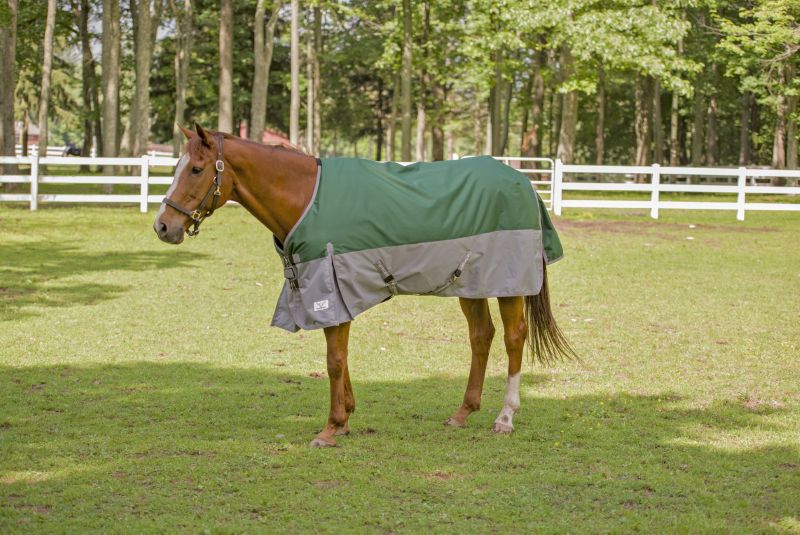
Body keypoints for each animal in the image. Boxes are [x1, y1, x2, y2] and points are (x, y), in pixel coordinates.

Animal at [152, 124, 576, 448]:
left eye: (196, 169)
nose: (163, 226)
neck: (306, 199)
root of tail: (523, 181)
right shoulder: (329, 291)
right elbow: (340, 357)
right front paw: (345, 418)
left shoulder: (331, 286)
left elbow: (334, 360)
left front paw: (331, 428)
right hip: (469, 282)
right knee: (481, 335)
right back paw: (462, 413)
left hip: (509, 283)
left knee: (513, 337)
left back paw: (505, 417)